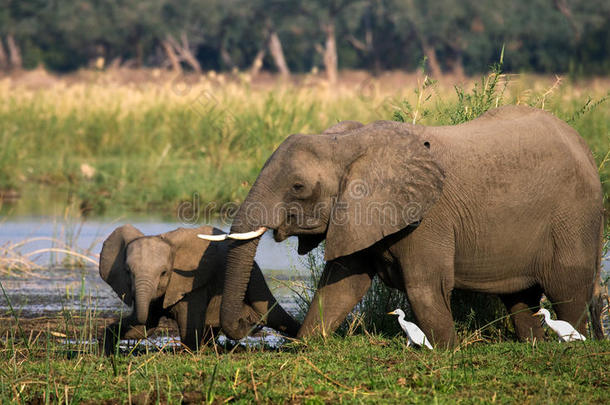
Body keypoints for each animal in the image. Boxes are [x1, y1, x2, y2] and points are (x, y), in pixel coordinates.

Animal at [100, 224, 300, 354]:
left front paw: (192, 351)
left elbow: (187, 331)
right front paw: (107, 349)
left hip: (254, 275)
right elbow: (145, 327)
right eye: (127, 272)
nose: (250, 322)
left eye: (164, 273)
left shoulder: (192, 284)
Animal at [201, 105, 604, 346]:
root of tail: (585, 148)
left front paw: (445, 352)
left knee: (568, 290)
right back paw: (533, 344)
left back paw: (574, 344)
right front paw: (306, 346)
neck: (347, 144)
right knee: (521, 299)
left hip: (573, 217)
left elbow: (425, 287)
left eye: (298, 187)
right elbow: (340, 286)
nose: (247, 325)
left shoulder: (427, 218)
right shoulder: (358, 215)